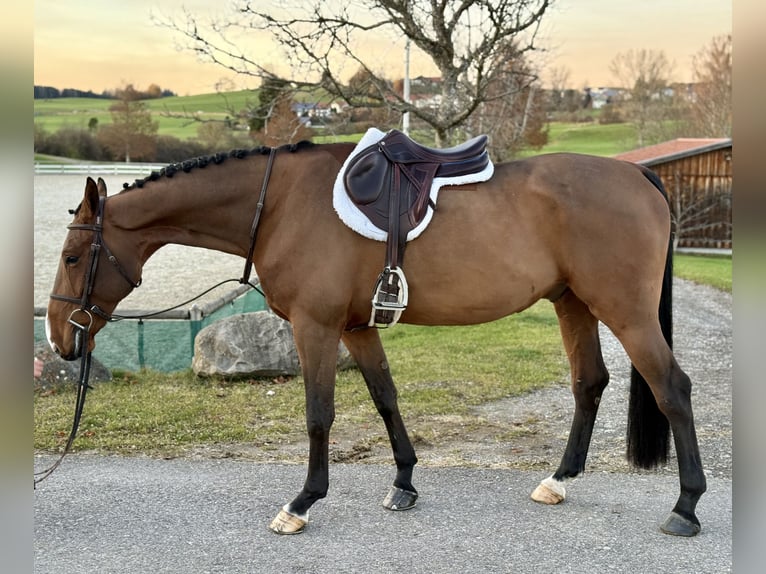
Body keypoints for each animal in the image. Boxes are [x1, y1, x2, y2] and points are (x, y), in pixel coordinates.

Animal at [44, 139, 706, 537]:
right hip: (574, 303)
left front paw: (303, 502)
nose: (58, 340)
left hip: (625, 311)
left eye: (73, 256)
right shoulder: (357, 327)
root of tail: (638, 174)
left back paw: (686, 506)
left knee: (672, 387)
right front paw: (404, 483)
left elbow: (319, 414)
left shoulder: (314, 326)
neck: (281, 203)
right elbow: (385, 398)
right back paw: (558, 480)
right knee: (589, 383)